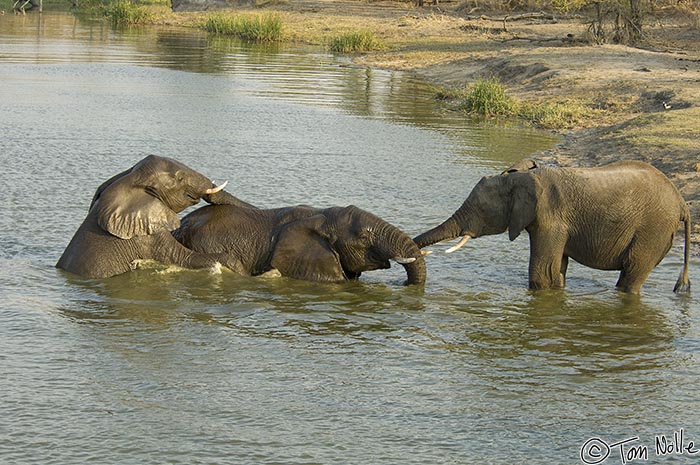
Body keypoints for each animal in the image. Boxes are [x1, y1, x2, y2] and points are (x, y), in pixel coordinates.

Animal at [412, 158, 692, 292]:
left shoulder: (552, 218)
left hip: (653, 230)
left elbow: (542, 273)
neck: (522, 177)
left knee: (632, 273)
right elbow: (557, 271)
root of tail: (682, 202)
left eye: (482, 210)